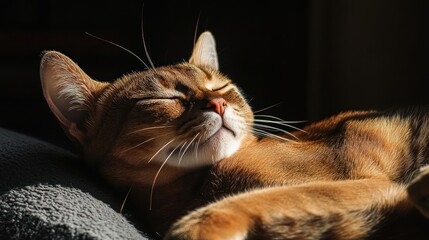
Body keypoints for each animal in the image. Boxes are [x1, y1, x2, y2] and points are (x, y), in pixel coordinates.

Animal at [39, 31, 428, 239]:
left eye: (221, 87)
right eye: (162, 98)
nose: (218, 103)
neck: (192, 191)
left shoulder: (375, 184)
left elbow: (245, 203)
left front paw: (193, 227)